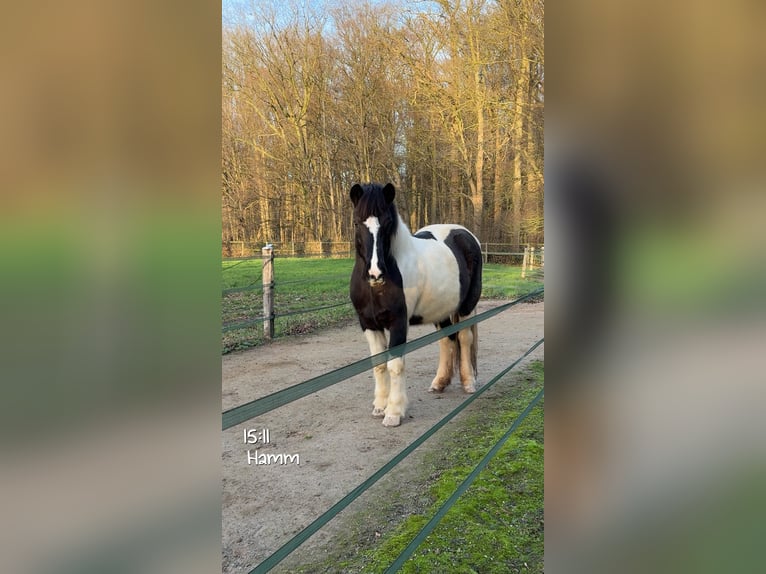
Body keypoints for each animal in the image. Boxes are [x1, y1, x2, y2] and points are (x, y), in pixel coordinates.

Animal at [349, 182, 483, 427]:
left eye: (388, 223)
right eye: (356, 222)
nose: (375, 273)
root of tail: (465, 234)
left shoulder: (398, 323)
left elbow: (395, 365)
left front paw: (394, 412)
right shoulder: (368, 323)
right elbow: (379, 364)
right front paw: (379, 407)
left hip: (466, 307)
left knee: (464, 339)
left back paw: (468, 383)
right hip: (441, 311)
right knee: (447, 340)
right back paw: (439, 383)